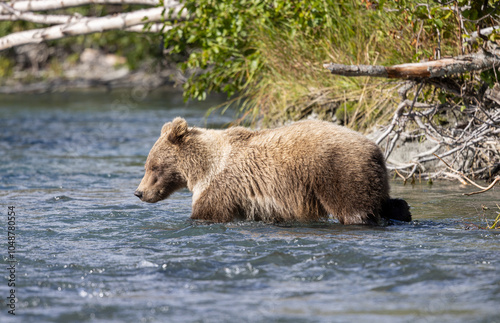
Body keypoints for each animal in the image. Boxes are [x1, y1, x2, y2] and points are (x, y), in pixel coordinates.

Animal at [134, 117, 410, 225]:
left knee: (355, 208)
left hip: (339, 171)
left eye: (153, 166)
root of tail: (376, 148)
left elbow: (207, 212)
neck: (201, 167)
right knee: (383, 200)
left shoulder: (220, 186)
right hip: (371, 174)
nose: (139, 192)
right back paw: (403, 210)